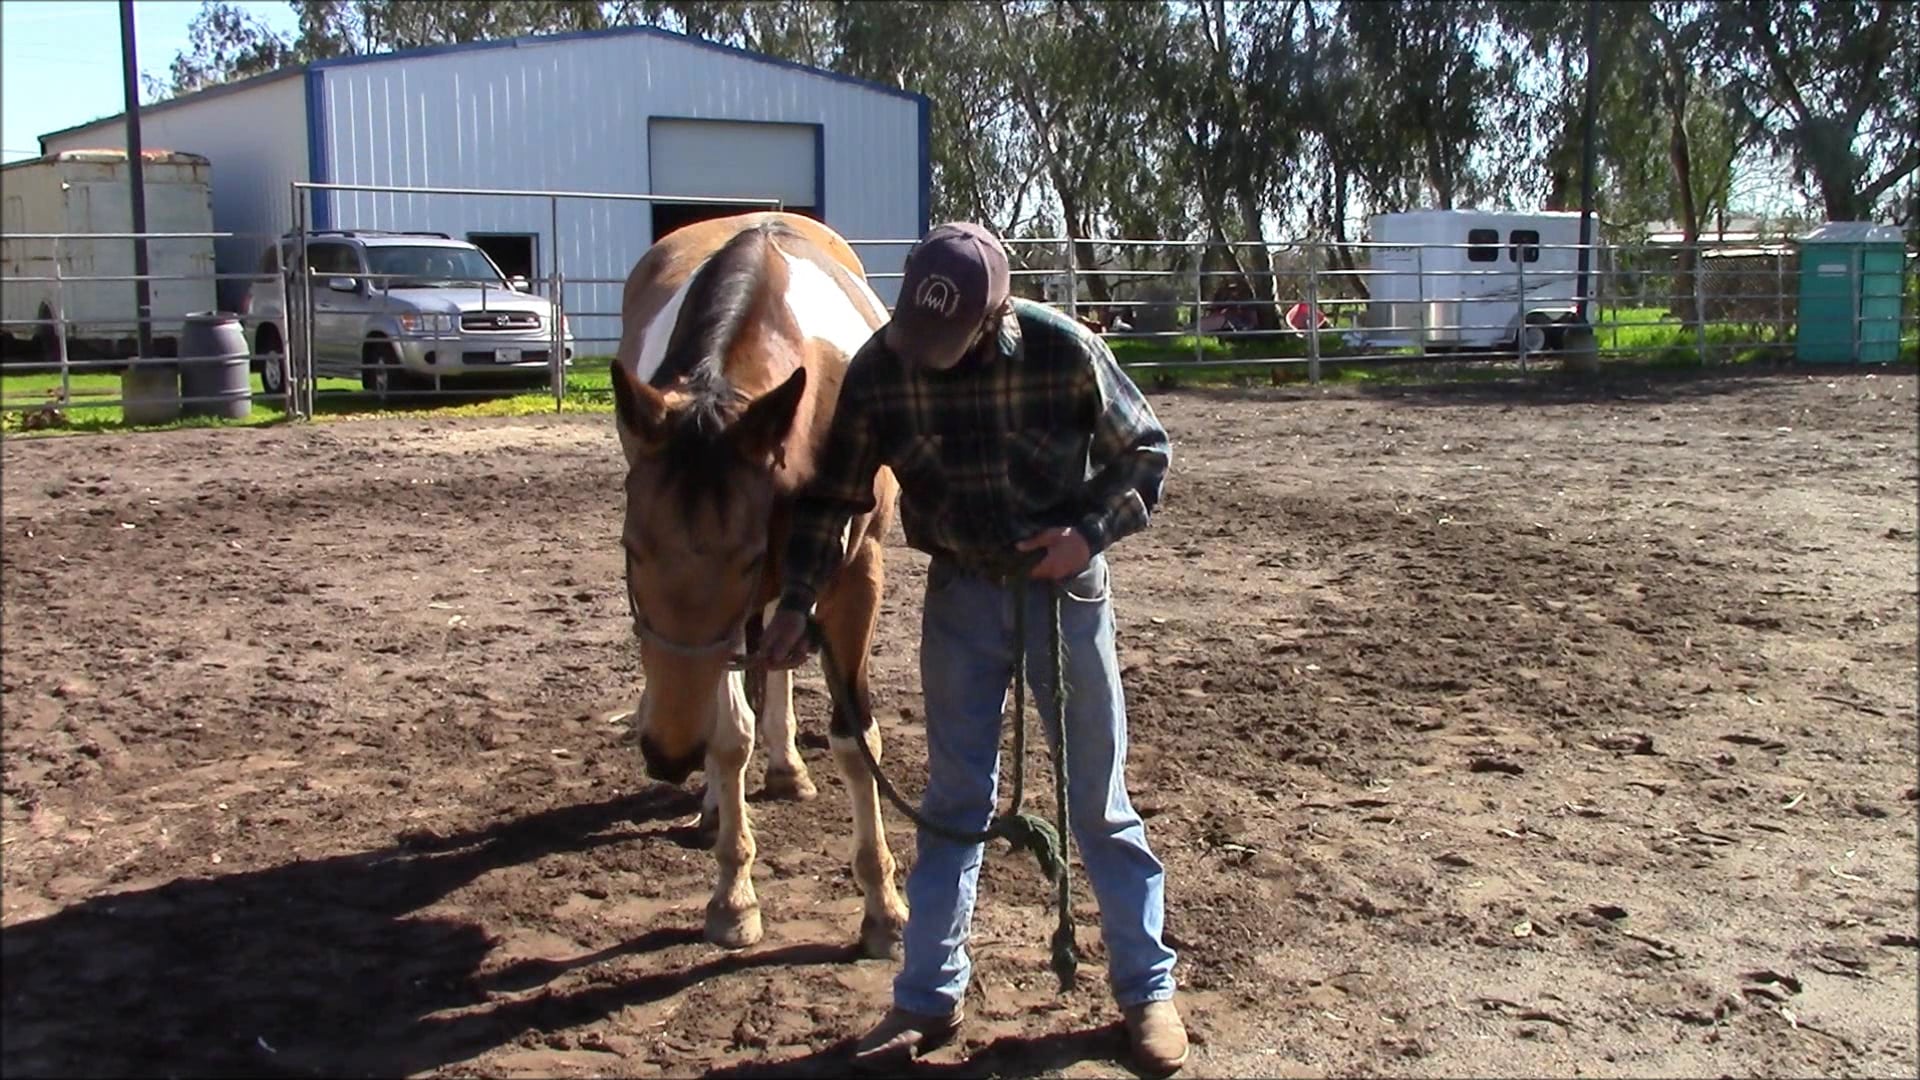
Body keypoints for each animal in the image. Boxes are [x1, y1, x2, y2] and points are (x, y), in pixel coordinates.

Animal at [609, 212, 907, 958]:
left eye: (745, 558)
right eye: (630, 549)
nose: (665, 753)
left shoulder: (855, 579)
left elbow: (856, 741)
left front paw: (883, 908)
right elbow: (728, 735)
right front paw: (732, 895)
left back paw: (785, 768)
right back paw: (722, 802)